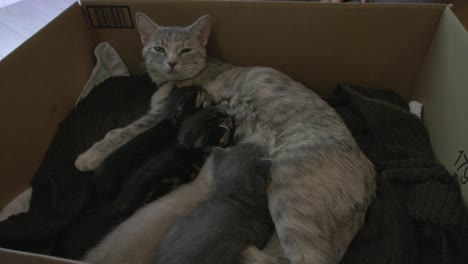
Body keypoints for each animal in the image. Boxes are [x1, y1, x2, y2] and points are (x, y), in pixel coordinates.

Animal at [76, 12, 376, 264]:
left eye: (185, 50)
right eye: (159, 49)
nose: (171, 62)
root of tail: (369, 175)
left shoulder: (160, 116)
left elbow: (120, 132)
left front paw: (89, 156)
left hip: (289, 201)